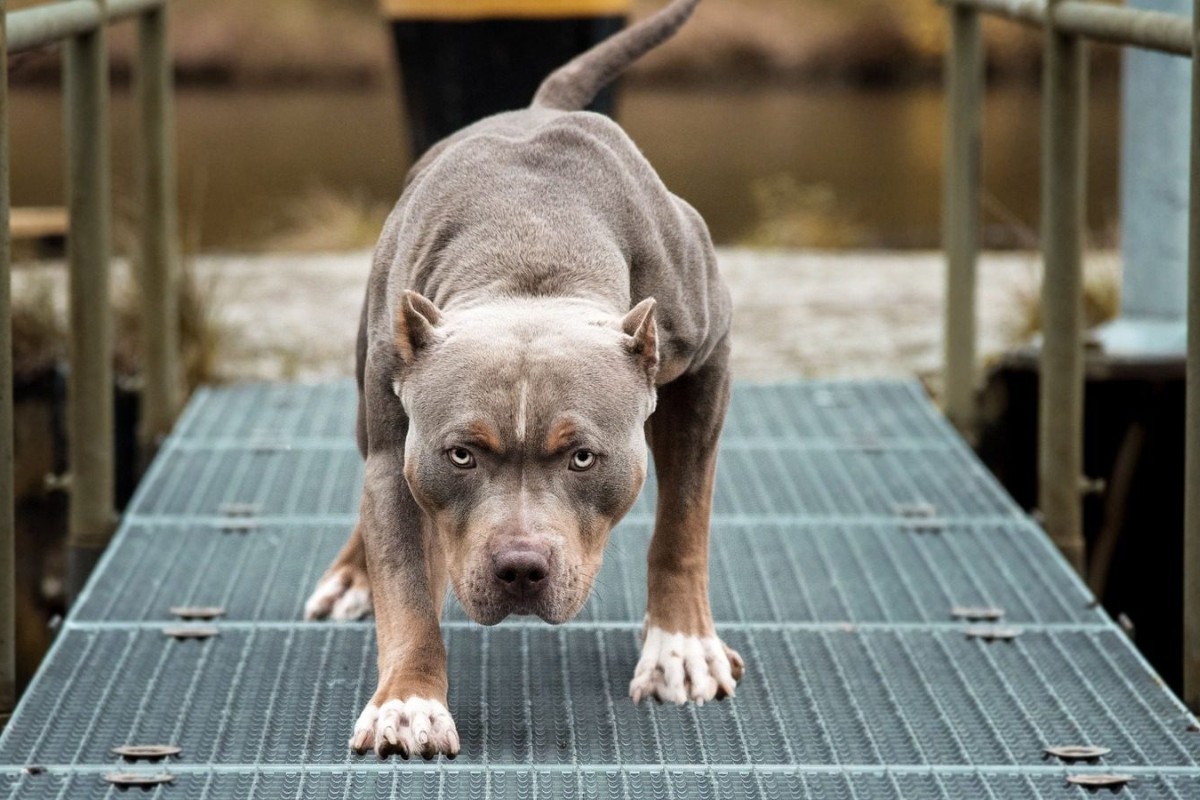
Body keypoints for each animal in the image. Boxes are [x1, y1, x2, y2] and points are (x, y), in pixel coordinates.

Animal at [304, 0, 739, 758]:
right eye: (461, 454)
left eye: (583, 457)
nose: (520, 569)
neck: (531, 250)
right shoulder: (397, 449)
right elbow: (405, 583)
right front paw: (408, 702)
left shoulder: (707, 361)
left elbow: (684, 520)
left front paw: (681, 647)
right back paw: (356, 576)